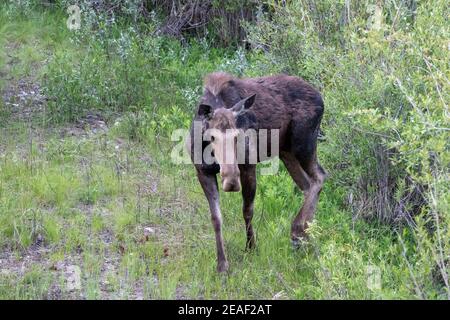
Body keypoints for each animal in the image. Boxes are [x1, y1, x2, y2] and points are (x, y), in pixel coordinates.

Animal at [188, 72, 326, 272]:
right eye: (212, 136)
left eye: (237, 135)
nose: (231, 181)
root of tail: (320, 98)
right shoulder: (203, 171)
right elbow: (216, 218)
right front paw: (222, 264)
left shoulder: (248, 166)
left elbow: (247, 210)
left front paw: (251, 246)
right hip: (286, 152)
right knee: (307, 185)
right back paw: (305, 235)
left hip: (303, 144)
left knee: (320, 177)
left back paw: (297, 230)